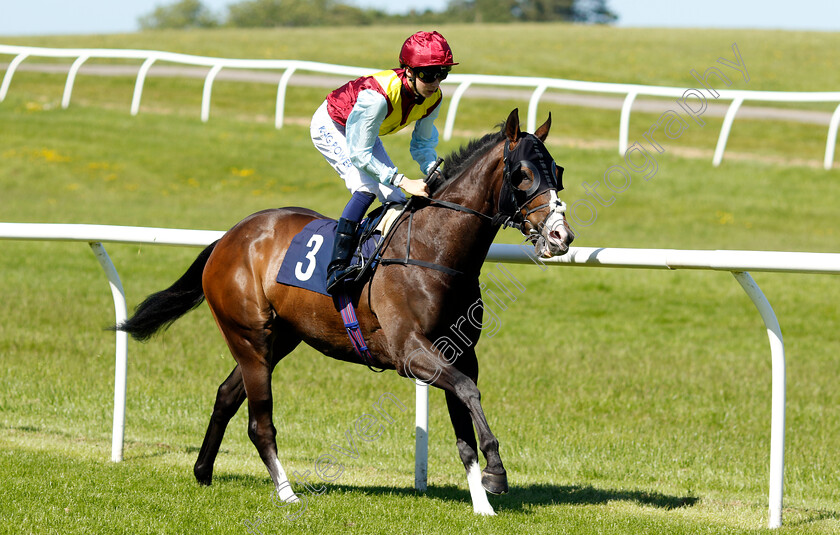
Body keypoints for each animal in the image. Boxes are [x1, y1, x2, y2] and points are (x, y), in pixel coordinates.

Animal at [116, 108, 572, 516]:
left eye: (558, 170)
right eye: (522, 174)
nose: (561, 236)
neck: (434, 250)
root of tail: (230, 236)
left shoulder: (459, 351)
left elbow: (465, 418)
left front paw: (483, 503)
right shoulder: (409, 352)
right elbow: (467, 391)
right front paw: (497, 471)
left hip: (280, 338)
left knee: (227, 395)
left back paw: (203, 471)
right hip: (248, 336)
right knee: (259, 421)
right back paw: (286, 493)